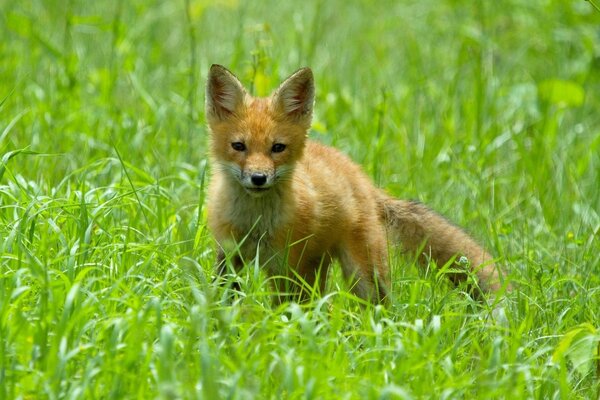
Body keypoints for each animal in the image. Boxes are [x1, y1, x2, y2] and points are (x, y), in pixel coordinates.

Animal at [205, 64, 505, 303]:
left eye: (277, 148)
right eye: (239, 146)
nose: (258, 178)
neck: (254, 224)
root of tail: (362, 178)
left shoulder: (285, 266)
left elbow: (285, 312)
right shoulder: (228, 256)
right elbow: (224, 299)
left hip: (364, 274)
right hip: (319, 267)